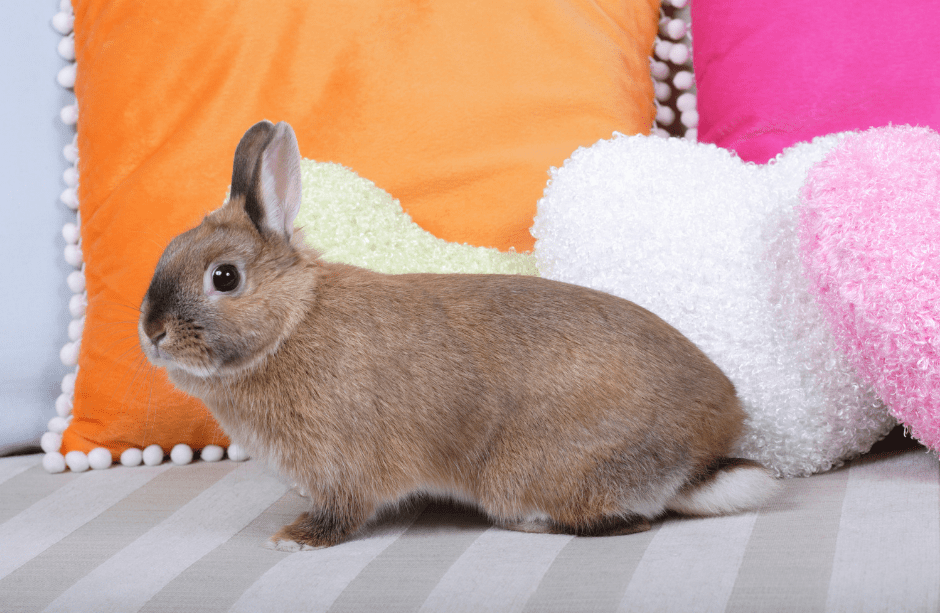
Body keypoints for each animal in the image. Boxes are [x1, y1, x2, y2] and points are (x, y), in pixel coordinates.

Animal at [138, 120, 780, 551]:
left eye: (224, 277)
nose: (152, 331)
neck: (293, 323)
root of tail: (700, 456)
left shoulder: (346, 464)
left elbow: (345, 511)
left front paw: (297, 537)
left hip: (521, 472)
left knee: (630, 519)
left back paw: (531, 522)